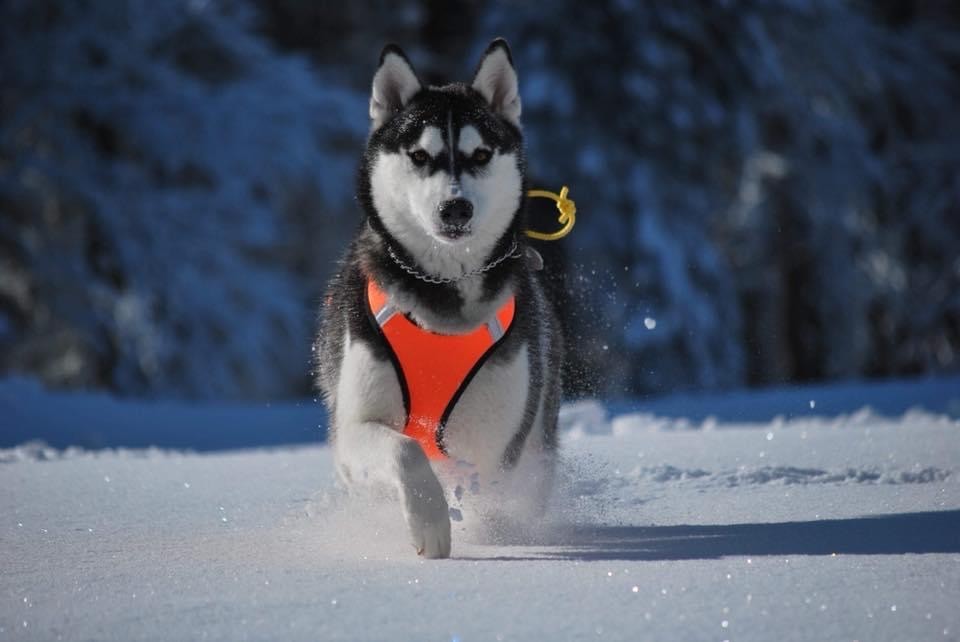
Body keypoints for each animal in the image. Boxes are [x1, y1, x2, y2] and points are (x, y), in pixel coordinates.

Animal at [316, 38, 564, 556]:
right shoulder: (355, 429)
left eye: (481, 154)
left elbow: (480, 483)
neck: (444, 298)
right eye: (419, 156)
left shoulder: (496, 446)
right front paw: (429, 523)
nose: (456, 208)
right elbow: (407, 449)